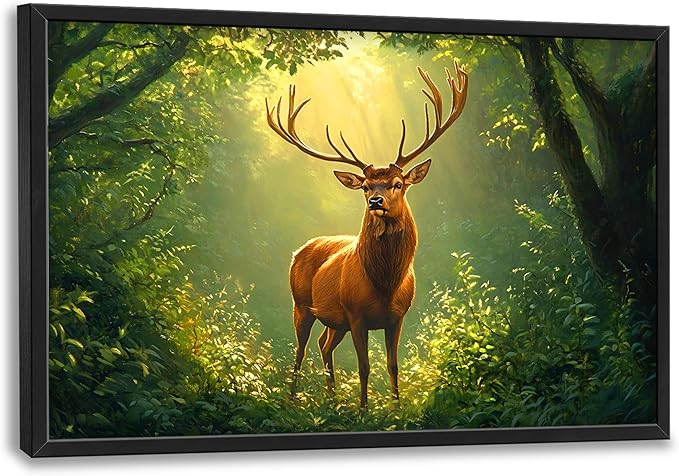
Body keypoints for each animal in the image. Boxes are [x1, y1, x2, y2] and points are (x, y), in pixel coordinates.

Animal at [265, 63, 468, 408]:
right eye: (364, 186)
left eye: (399, 183)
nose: (376, 201)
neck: (385, 284)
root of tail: (300, 249)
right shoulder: (356, 314)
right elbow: (364, 366)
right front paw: (363, 410)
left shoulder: (397, 317)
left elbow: (393, 365)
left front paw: (396, 408)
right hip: (301, 304)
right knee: (301, 350)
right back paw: (293, 399)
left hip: (334, 320)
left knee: (324, 344)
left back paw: (332, 398)